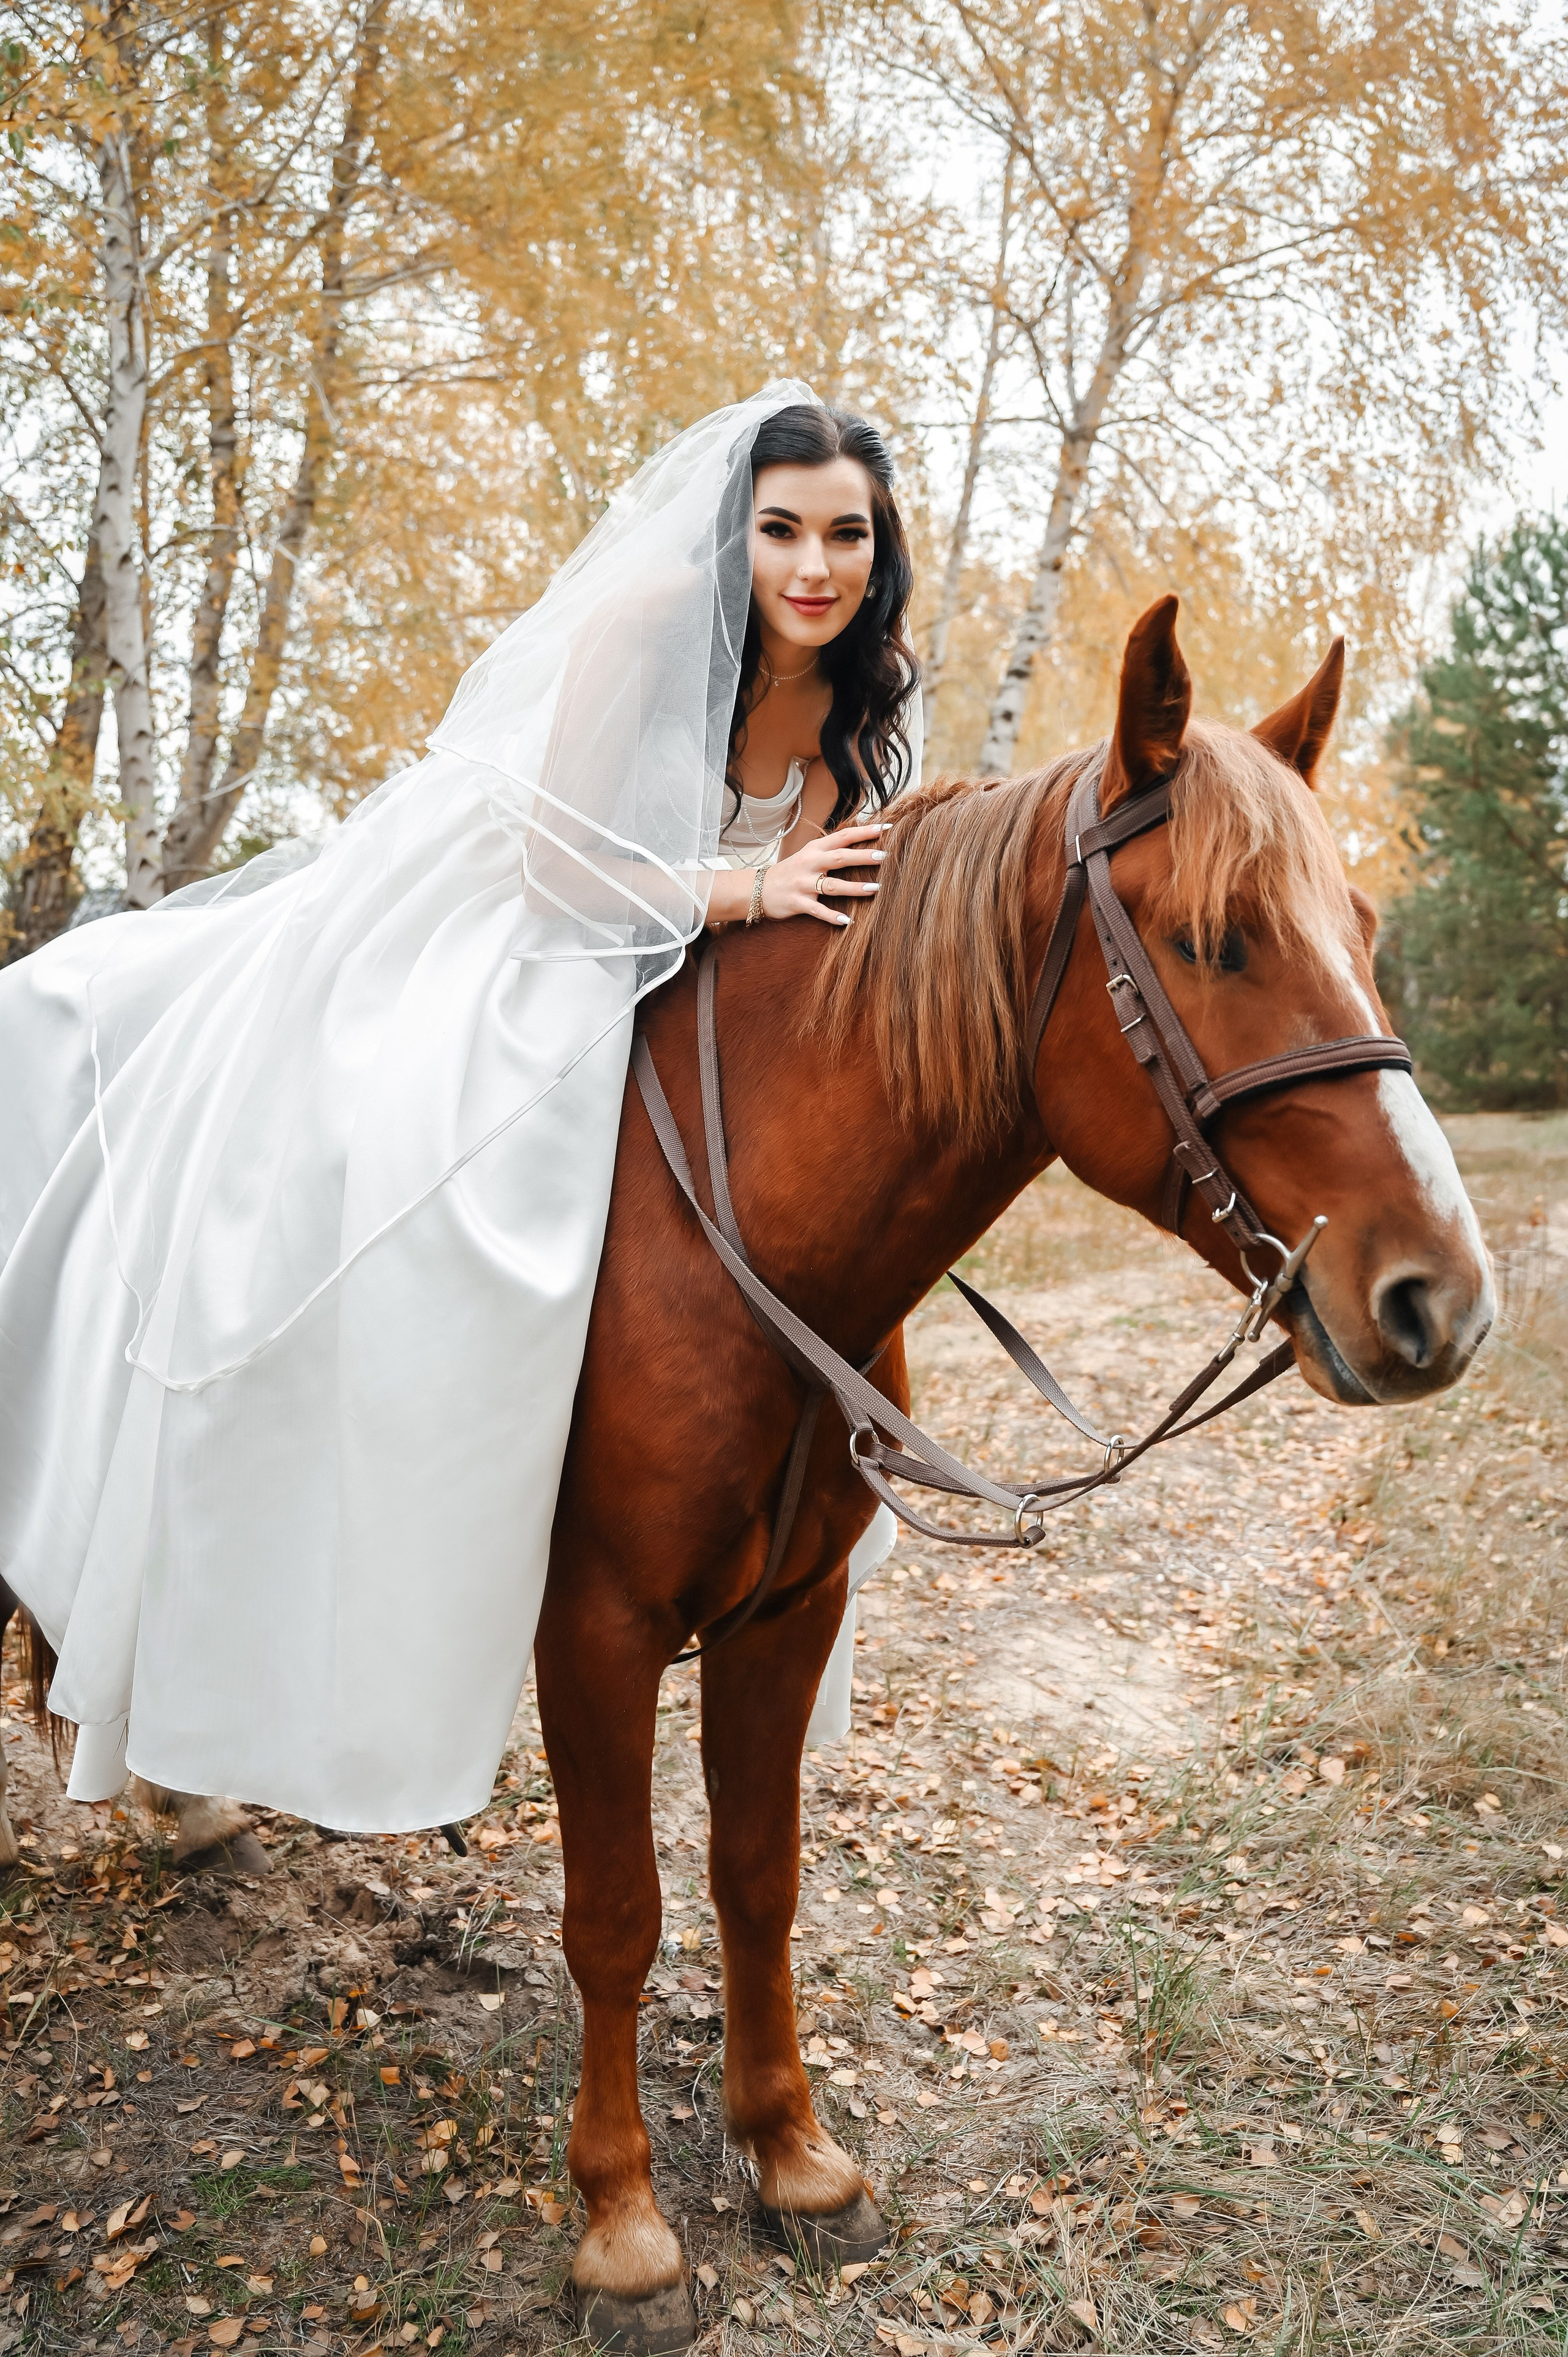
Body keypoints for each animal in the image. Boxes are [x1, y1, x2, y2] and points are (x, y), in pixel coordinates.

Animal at [540, 598, 1492, 2352]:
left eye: (1361, 923)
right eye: (1214, 938)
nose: (1439, 1301)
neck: (715, 1249)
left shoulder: (788, 1615)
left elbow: (756, 1875)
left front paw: (792, 2156)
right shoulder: (593, 1629)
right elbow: (616, 1912)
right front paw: (623, 2222)